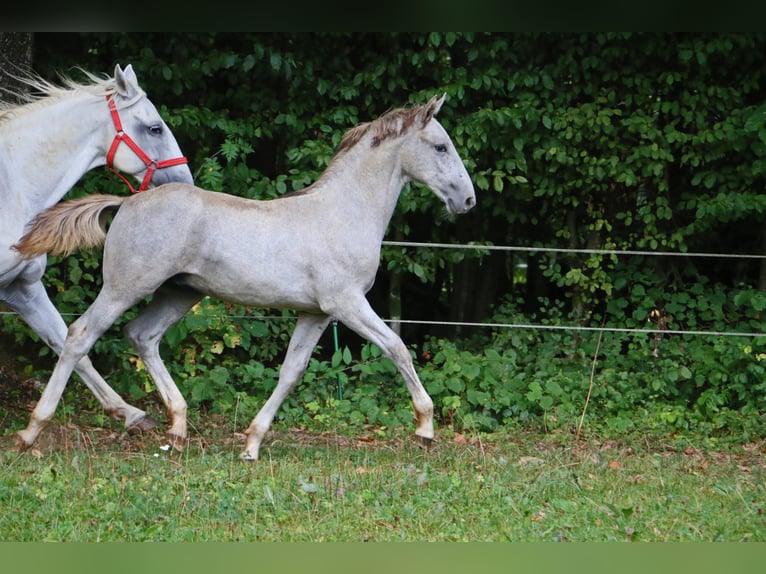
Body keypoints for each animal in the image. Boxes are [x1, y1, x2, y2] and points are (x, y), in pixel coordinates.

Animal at [1, 64, 194, 432]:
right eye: (155, 128)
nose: (186, 183)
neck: (12, 186)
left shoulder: (22, 287)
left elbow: (68, 344)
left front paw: (131, 413)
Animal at [15, 94, 476, 464]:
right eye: (440, 145)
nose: (468, 200)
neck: (343, 212)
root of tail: (126, 202)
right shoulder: (347, 304)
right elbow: (397, 348)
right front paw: (425, 429)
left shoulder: (316, 314)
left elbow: (291, 372)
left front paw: (252, 444)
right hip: (125, 288)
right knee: (79, 335)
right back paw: (32, 430)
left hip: (179, 294)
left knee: (141, 335)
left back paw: (177, 429)